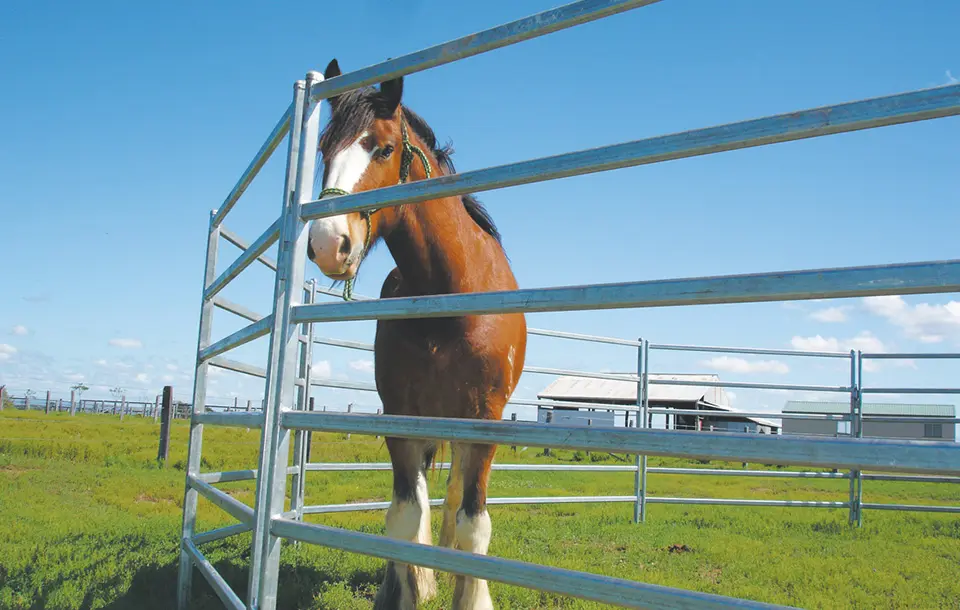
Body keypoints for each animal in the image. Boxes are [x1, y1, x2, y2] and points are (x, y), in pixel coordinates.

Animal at [308, 58, 528, 608]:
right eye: (324, 150)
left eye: (383, 148)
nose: (326, 243)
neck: (448, 297)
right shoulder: (401, 415)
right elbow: (406, 516)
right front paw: (408, 586)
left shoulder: (484, 421)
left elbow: (473, 522)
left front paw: (471, 592)